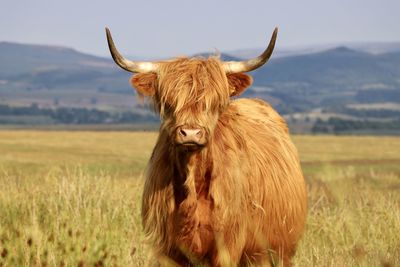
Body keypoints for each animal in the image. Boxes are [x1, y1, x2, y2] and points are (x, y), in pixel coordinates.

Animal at [105, 27, 306, 267]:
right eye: (169, 103)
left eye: (212, 103)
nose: (190, 133)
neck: (194, 182)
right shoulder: (167, 248)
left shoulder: (227, 245)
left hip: (277, 251)